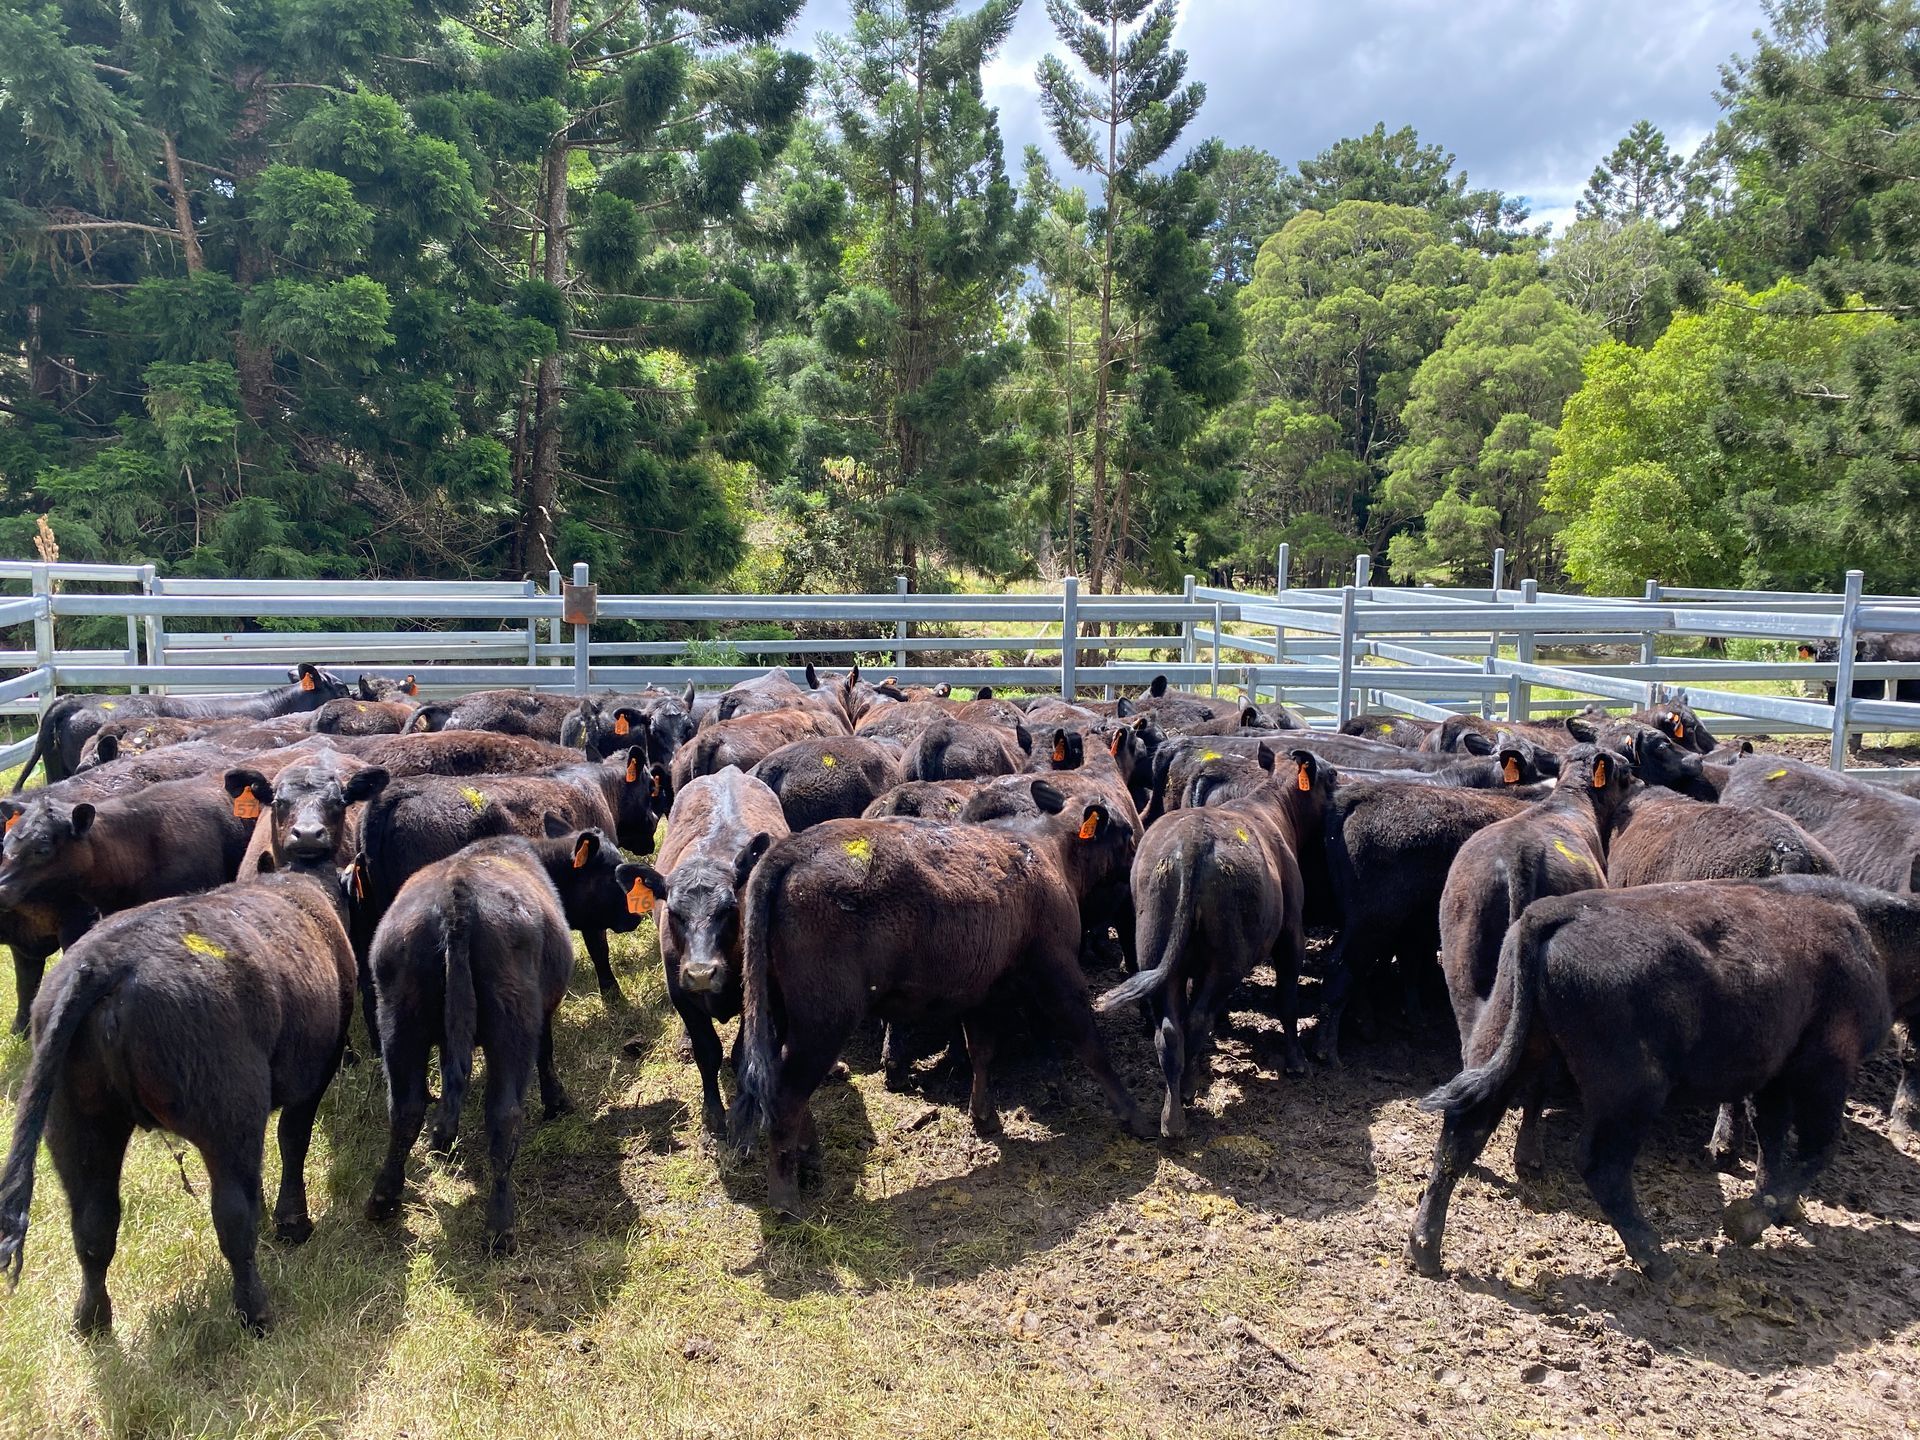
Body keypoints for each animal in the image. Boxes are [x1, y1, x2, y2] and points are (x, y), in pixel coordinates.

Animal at [0, 863, 356, 1332]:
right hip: (226, 1115)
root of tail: (105, 961)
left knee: (93, 1224)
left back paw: (92, 1318)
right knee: (232, 1215)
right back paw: (255, 1312)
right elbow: (292, 1140)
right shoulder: (313, 1072)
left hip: (77, 1123)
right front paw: (292, 1224)